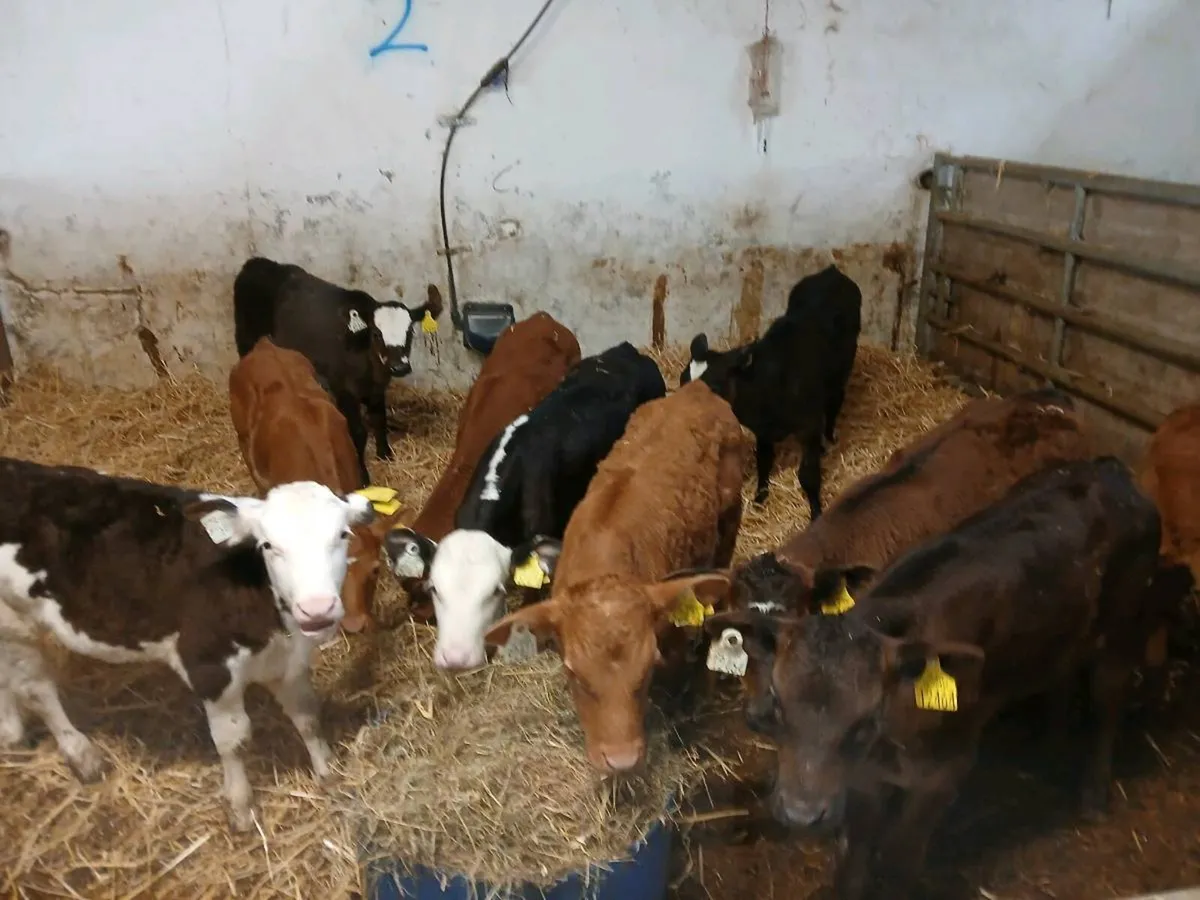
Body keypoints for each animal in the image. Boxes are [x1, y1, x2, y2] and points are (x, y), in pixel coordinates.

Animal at [0, 456, 375, 832]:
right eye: (268, 545)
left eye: (343, 534)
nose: (317, 608)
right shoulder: (209, 668)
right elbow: (234, 740)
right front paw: (241, 808)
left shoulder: (288, 661)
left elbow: (307, 717)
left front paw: (328, 773)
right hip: (14, 620)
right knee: (38, 689)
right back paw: (82, 755)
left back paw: (12, 733)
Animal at [232, 256, 444, 482]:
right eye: (376, 334)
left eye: (410, 331)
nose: (399, 367)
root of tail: (256, 263)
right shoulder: (343, 389)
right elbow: (357, 432)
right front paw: (363, 473)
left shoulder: (376, 389)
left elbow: (379, 419)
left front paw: (385, 454)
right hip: (246, 343)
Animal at [680, 264, 862, 513]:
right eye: (682, 380)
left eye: (714, 386)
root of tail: (832, 272)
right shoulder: (763, 431)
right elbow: (764, 461)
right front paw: (760, 497)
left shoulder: (808, 425)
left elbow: (808, 475)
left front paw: (816, 510)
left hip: (841, 373)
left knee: (835, 402)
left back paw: (829, 439)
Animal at [728, 456, 1165, 900]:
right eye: (780, 704)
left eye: (865, 719)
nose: (801, 814)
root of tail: (1109, 469)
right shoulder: (866, 779)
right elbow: (852, 864)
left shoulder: (943, 773)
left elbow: (901, 859)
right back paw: (1049, 753)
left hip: (1124, 622)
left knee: (1108, 698)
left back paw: (1092, 794)